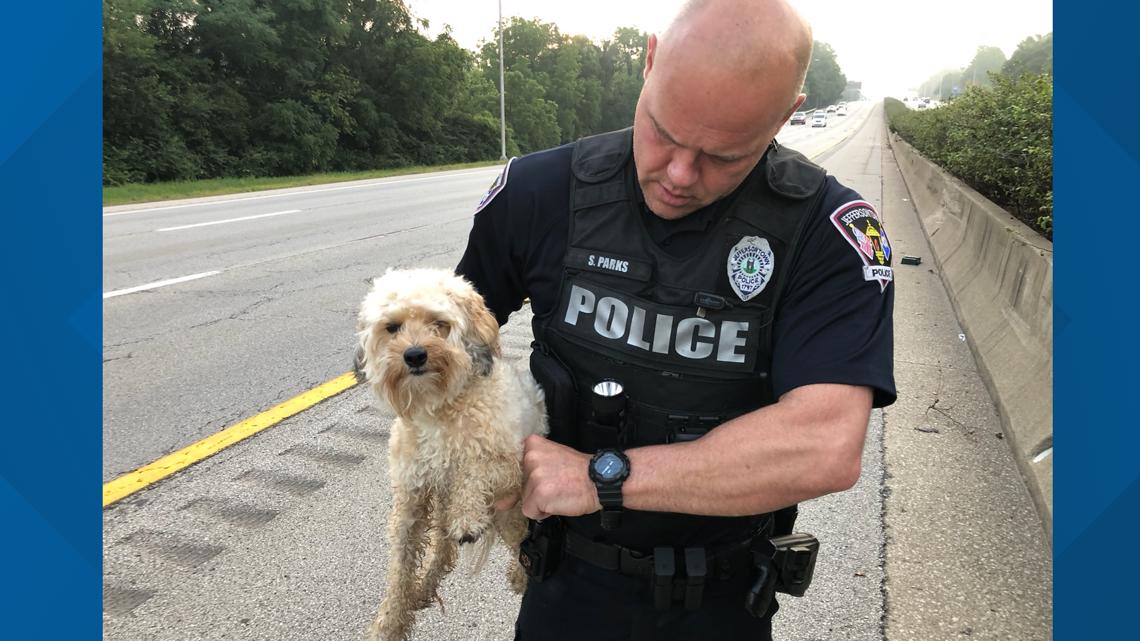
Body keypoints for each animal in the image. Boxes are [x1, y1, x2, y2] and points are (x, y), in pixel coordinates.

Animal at [357, 266, 549, 638]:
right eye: (393, 327)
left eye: (439, 323)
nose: (415, 355)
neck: (439, 410)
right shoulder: (411, 497)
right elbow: (401, 565)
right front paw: (390, 622)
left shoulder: (509, 464)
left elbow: (474, 471)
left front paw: (469, 517)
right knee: (443, 550)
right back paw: (424, 588)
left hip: (508, 512)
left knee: (520, 540)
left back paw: (519, 575)